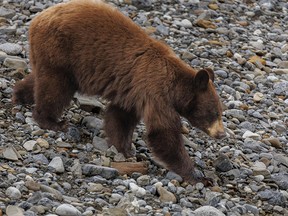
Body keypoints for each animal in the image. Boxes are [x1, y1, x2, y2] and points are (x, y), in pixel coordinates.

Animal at [12, 0, 225, 186]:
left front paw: (125, 149)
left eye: (220, 113)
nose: (222, 133)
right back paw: (52, 121)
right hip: (61, 50)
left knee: (41, 79)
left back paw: (19, 96)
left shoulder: (133, 93)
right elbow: (162, 132)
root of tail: (39, 18)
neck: (175, 87)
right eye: (214, 113)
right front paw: (198, 176)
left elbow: (120, 117)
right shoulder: (155, 90)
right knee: (55, 88)